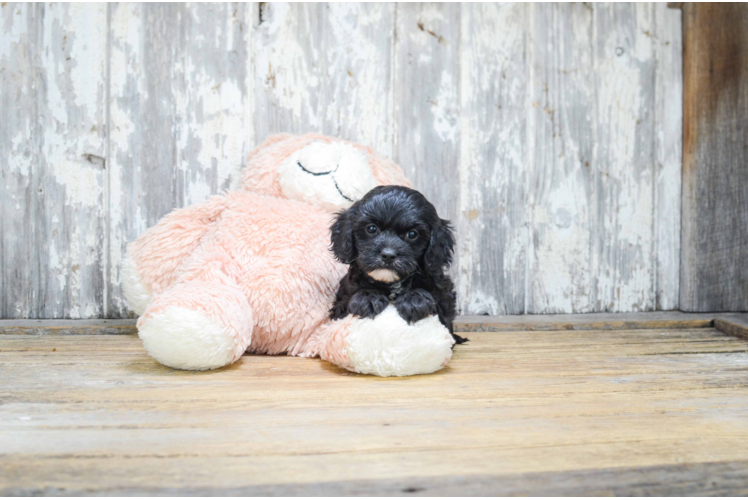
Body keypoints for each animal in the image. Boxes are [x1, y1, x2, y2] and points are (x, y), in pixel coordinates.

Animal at [328, 184, 468, 344]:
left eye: (412, 234)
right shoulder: (340, 305)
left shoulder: (443, 298)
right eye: (371, 228)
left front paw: (414, 299)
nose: (388, 255)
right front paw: (367, 297)